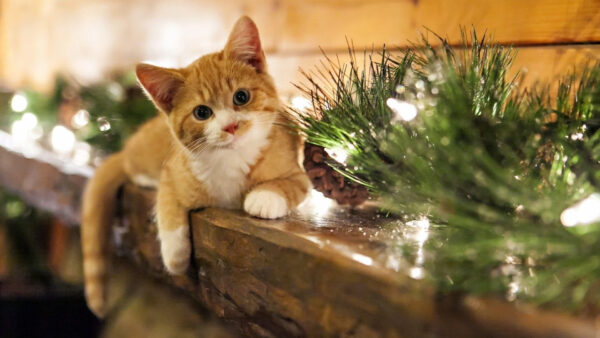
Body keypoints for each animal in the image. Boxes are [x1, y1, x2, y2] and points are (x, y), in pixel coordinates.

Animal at [79, 15, 310, 316]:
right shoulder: (172, 171)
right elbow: (167, 205)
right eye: (202, 112)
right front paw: (175, 255)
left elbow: (290, 184)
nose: (231, 126)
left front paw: (265, 197)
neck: (232, 158)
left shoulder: (298, 170)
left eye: (241, 97)